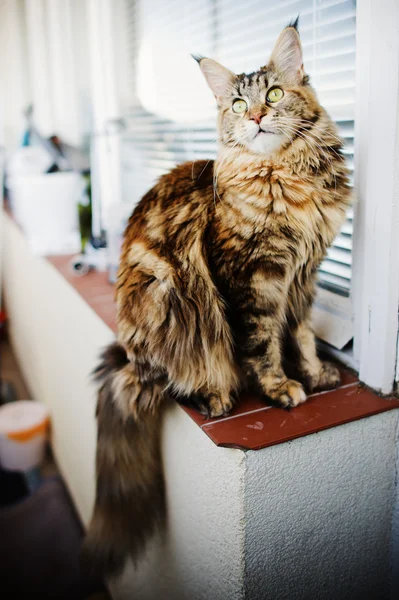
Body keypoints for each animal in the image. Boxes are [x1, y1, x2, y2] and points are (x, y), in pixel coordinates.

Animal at [83, 21, 352, 580]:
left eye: (274, 95)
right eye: (237, 104)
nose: (256, 117)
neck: (286, 176)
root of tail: (131, 358)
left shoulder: (304, 277)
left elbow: (302, 334)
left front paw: (316, 373)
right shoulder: (253, 278)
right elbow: (263, 343)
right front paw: (280, 388)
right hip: (171, 300)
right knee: (181, 379)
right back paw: (217, 395)